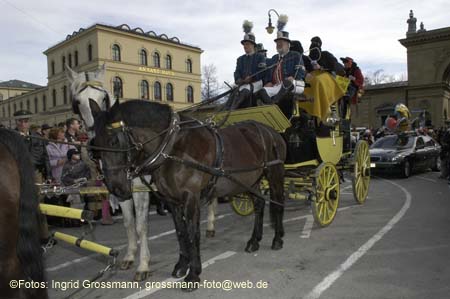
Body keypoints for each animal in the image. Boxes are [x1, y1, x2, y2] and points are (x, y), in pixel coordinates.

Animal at [67, 65, 220, 282]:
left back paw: (211, 226)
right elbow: (129, 223)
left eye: (103, 97)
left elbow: (141, 225)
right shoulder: (121, 189)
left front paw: (143, 264)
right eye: (77, 102)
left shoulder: (140, 189)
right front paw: (130, 255)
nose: (92, 142)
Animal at [87, 99, 284, 292]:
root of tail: (271, 131)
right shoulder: (172, 201)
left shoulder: (191, 198)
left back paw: (278, 239)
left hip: (274, 173)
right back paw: (254, 241)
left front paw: (193, 274)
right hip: (250, 180)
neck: (173, 147)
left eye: (114, 141)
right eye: (95, 144)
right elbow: (181, 232)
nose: (116, 188)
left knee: (277, 203)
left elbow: (192, 233)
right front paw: (182, 266)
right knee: (259, 204)